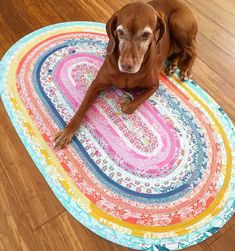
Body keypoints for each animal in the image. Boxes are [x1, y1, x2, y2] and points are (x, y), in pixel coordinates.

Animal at [54, 0, 197, 149]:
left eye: (146, 35)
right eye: (120, 32)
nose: (126, 65)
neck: (128, 75)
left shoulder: (154, 85)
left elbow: (132, 106)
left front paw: (127, 103)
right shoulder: (97, 83)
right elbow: (82, 107)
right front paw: (68, 131)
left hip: (178, 23)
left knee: (193, 51)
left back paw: (186, 70)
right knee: (180, 52)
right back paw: (172, 66)